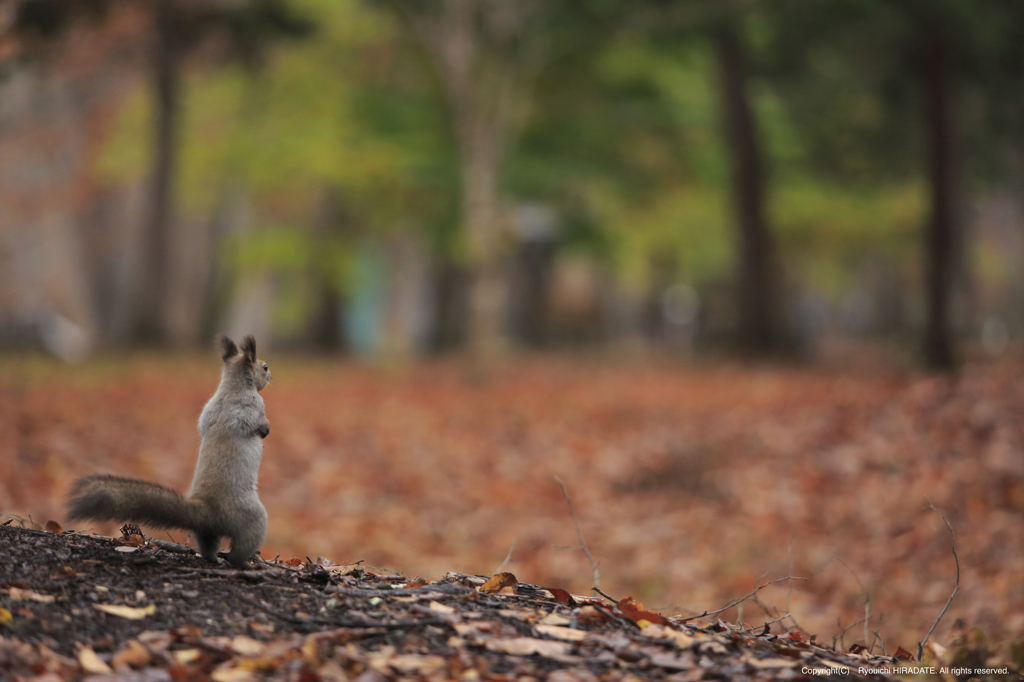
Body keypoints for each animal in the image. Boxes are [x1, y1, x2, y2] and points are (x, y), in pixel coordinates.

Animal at [65, 333, 274, 561]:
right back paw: (245, 562)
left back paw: (213, 558)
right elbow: (261, 425)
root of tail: (208, 510)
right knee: (241, 548)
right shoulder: (255, 405)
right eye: (264, 367)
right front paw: (266, 429)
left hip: (206, 531)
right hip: (253, 519)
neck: (232, 387)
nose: (271, 376)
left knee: (207, 544)